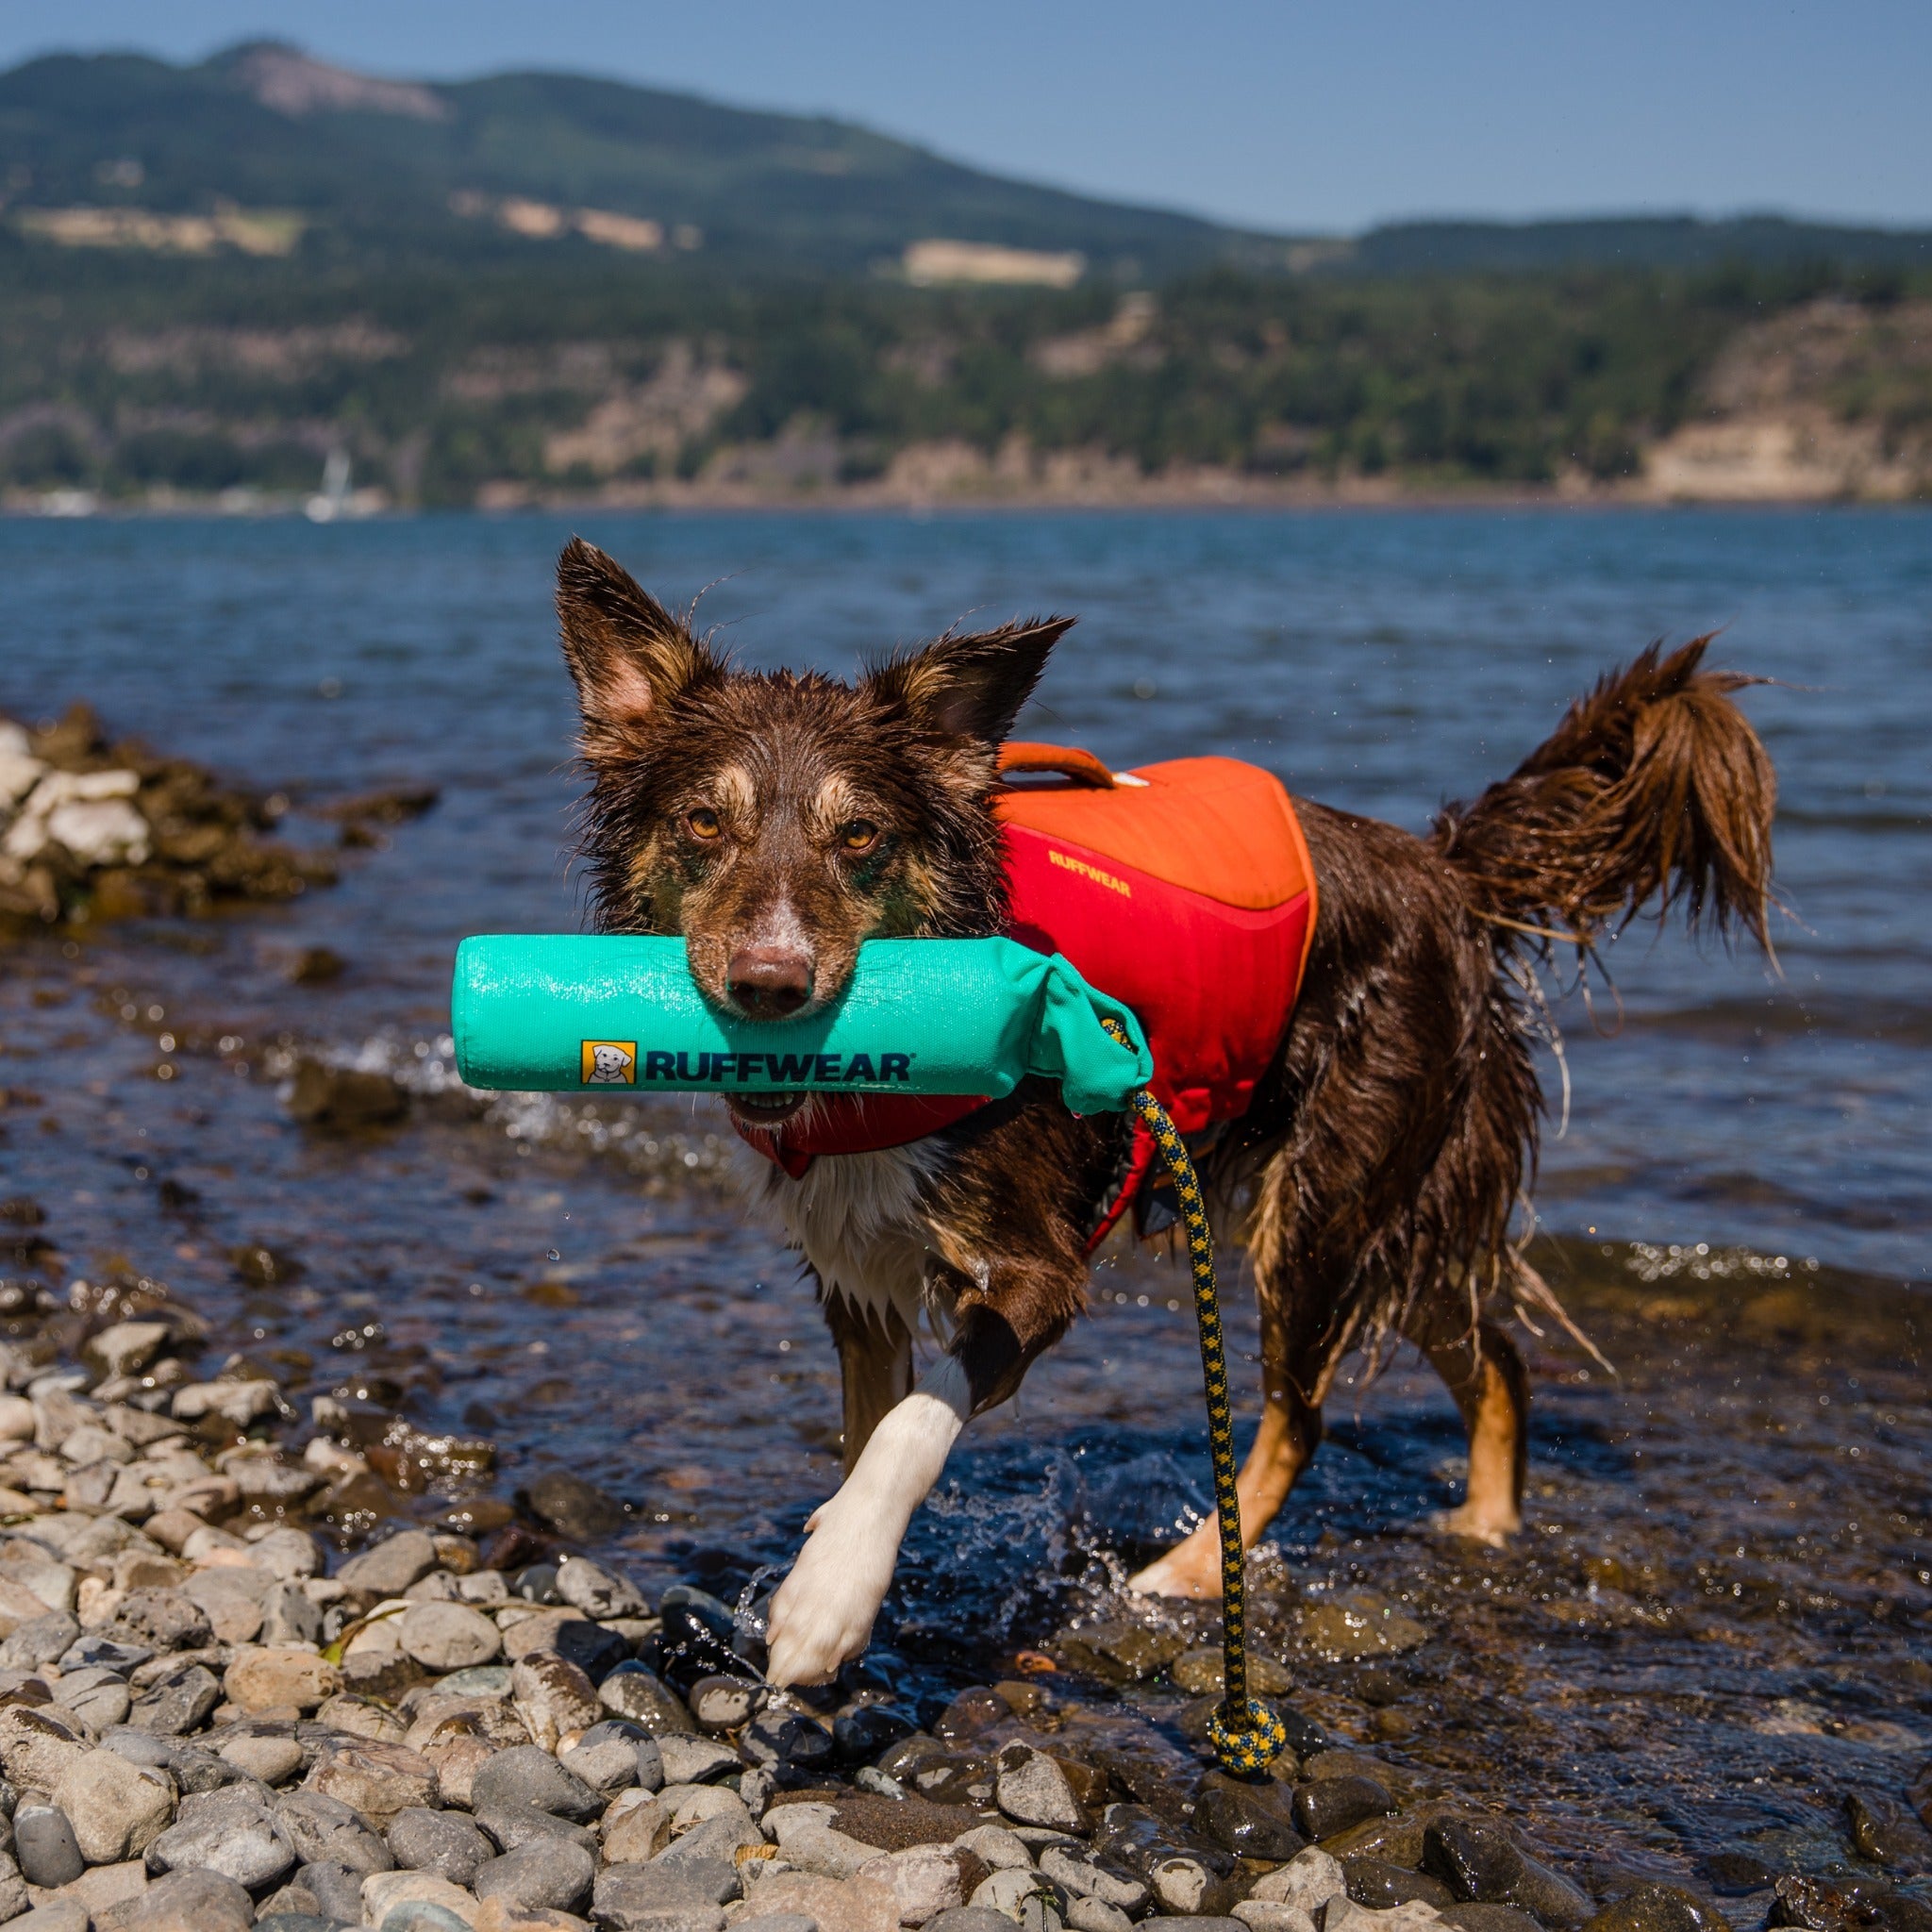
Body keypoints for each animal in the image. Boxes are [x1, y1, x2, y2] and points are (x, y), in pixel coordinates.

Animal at [552, 537, 1769, 1684]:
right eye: (703, 822)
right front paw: (844, 1574)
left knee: (1302, 1411)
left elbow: (911, 1423)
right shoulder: (856, 1273)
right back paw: (1479, 1524)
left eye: (859, 837)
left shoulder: (1041, 1267)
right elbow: (865, 1430)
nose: (769, 983)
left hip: (1321, 1201)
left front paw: (828, 1595)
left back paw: (1185, 1574)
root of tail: (1441, 869)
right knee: (1492, 1354)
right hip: (1379, 1205)